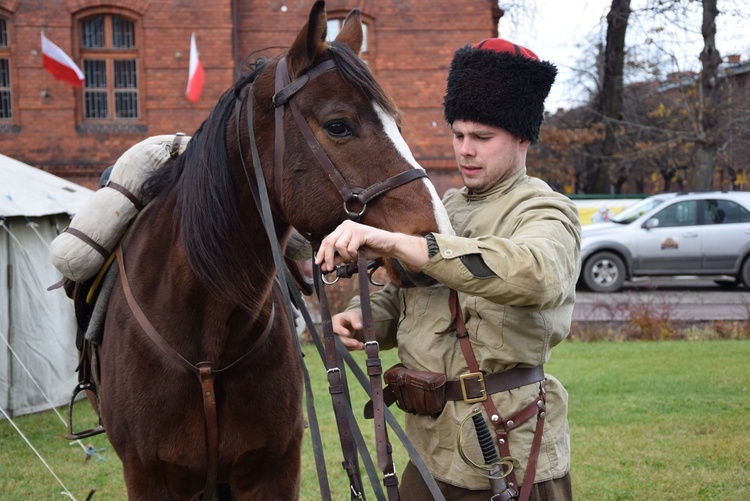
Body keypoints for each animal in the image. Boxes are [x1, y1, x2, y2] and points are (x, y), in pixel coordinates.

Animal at [100, 1, 452, 498]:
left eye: (397, 125)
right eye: (339, 125)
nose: (432, 237)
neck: (207, 337)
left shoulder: (273, 466)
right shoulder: (148, 474)